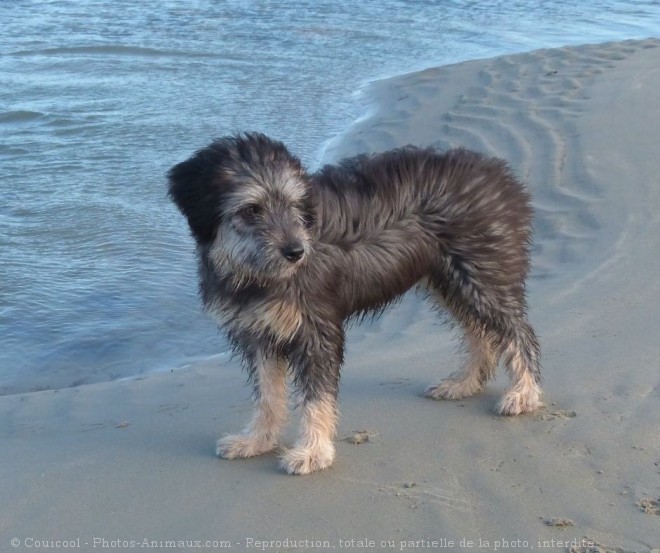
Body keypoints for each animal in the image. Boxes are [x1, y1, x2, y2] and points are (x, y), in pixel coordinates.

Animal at [166, 132, 540, 472]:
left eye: (293, 204)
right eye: (251, 210)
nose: (296, 252)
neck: (256, 276)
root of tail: (500, 173)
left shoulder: (316, 331)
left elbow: (316, 398)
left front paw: (313, 451)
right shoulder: (258, 333)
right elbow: (268, 397)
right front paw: (256, 441)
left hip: (482, 274)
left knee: (518, 332)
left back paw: (524, 393)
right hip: (448, 280)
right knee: (480, 334)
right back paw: (463, 384)